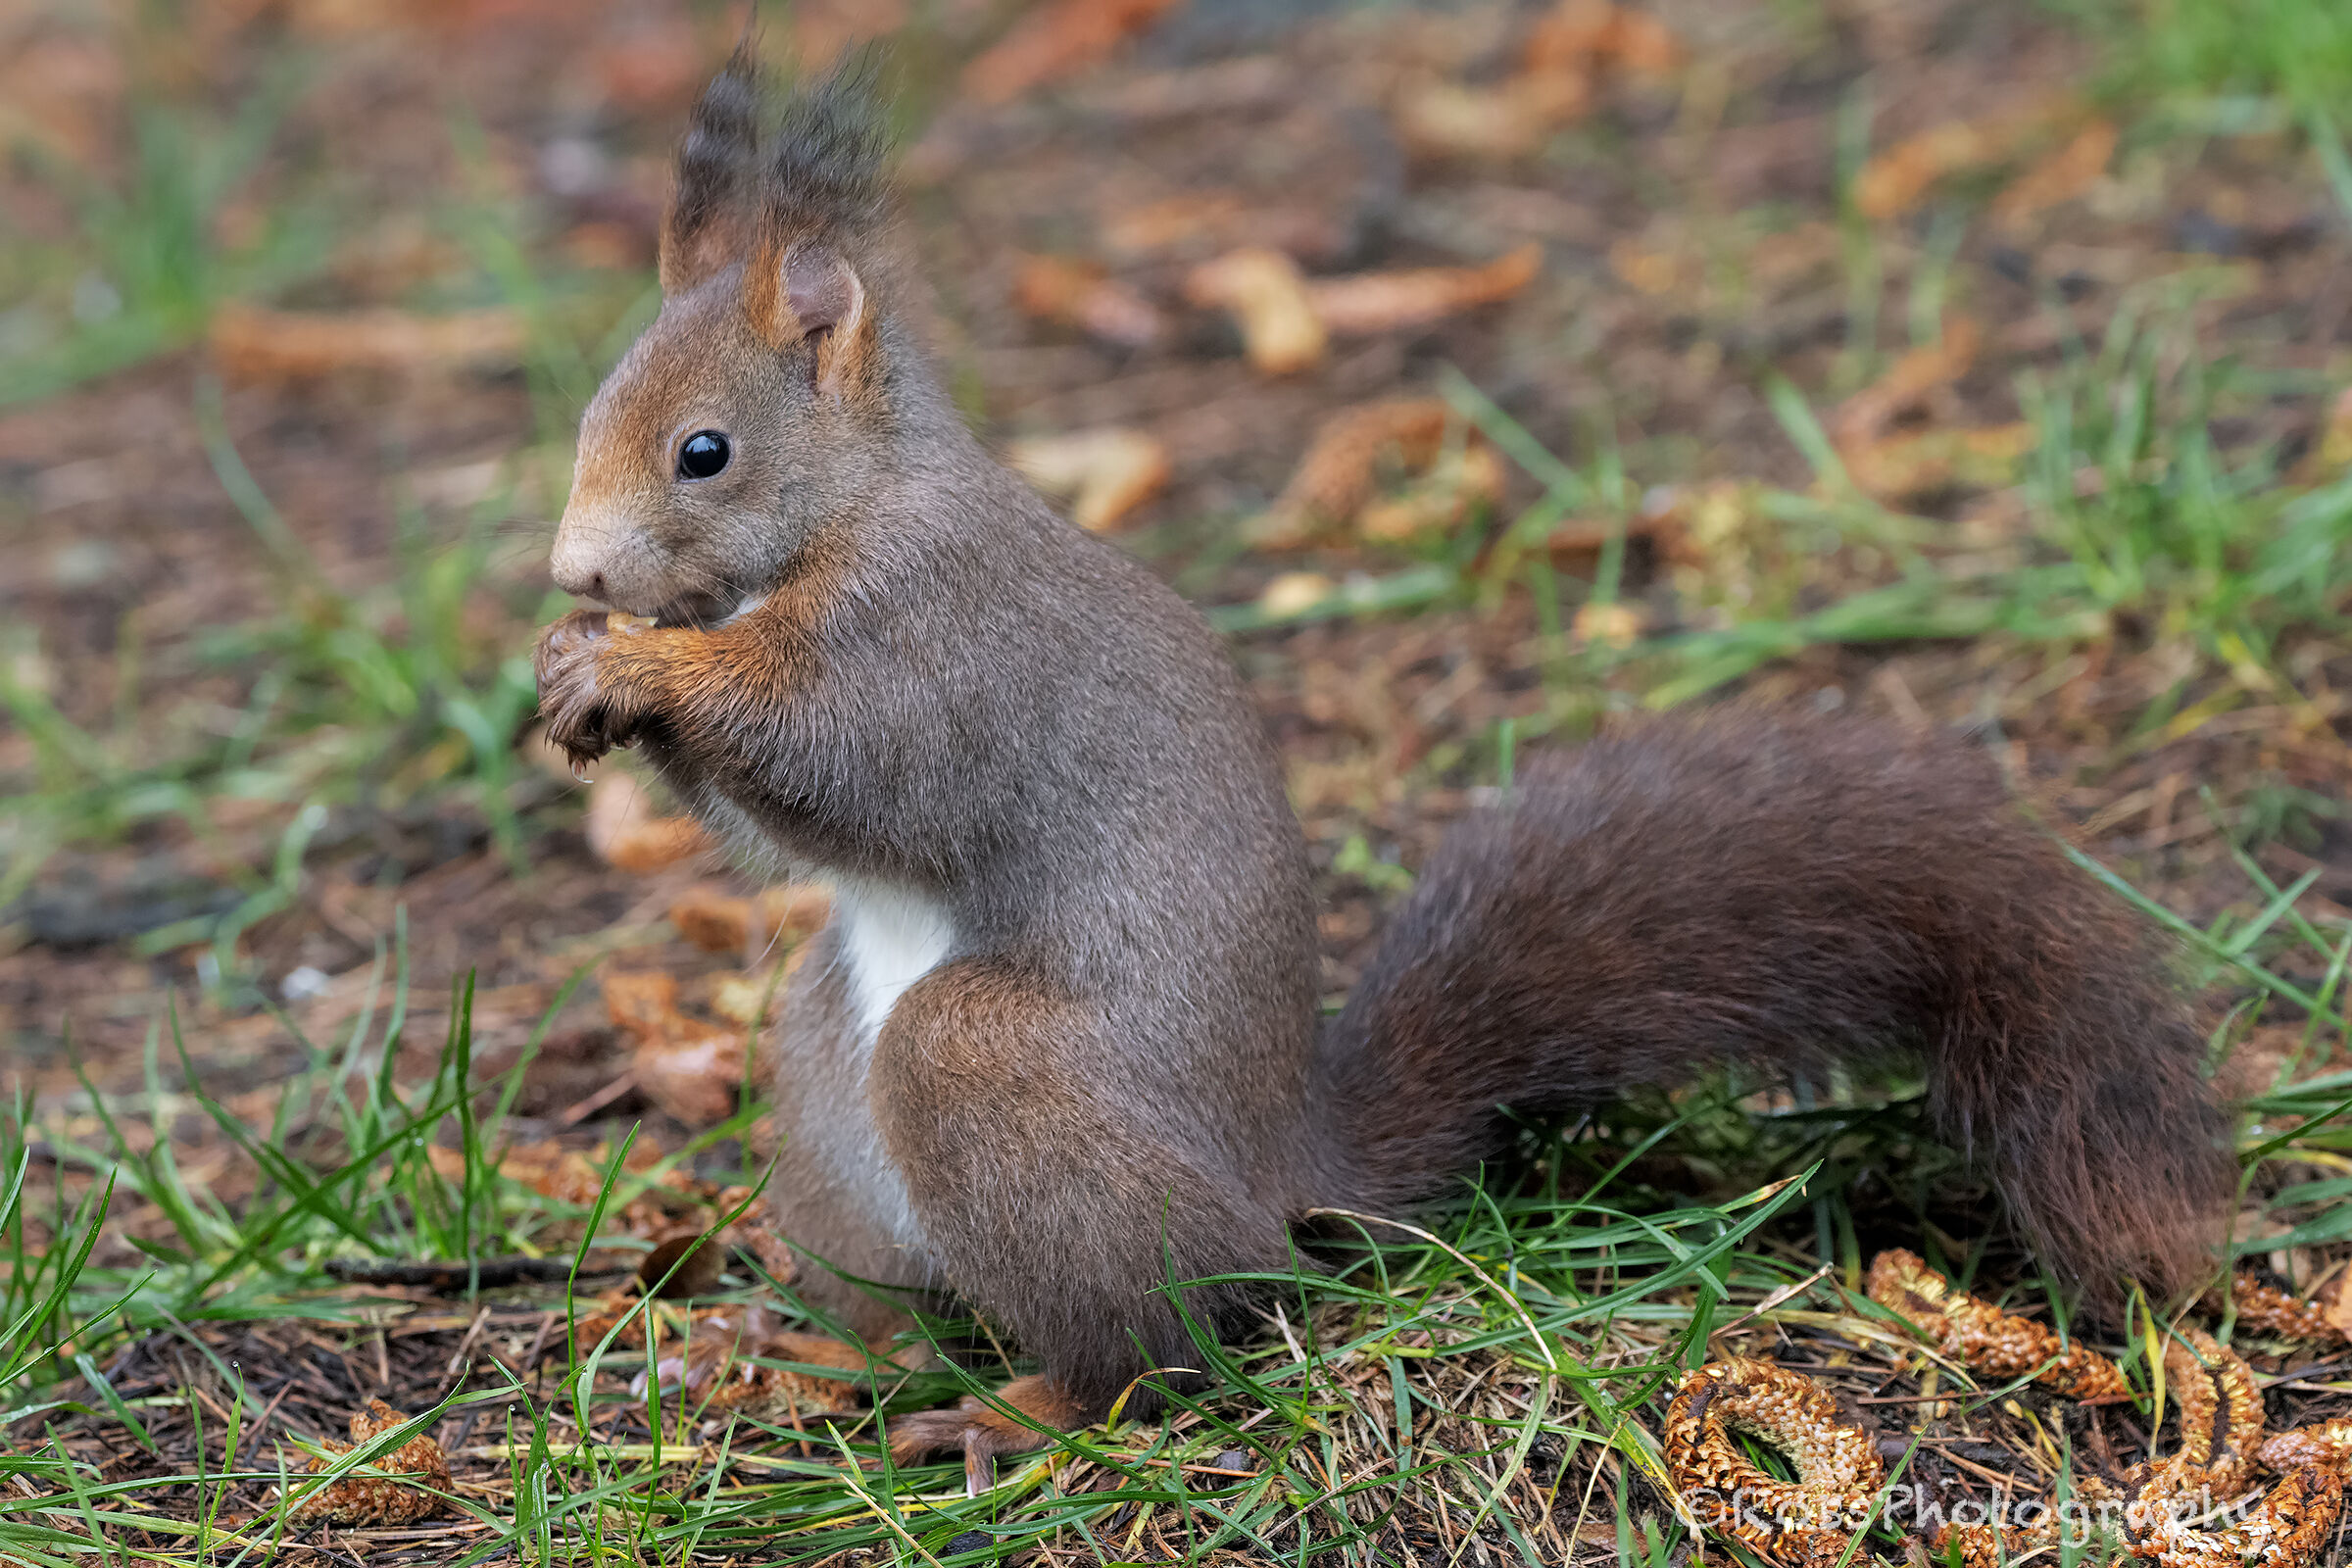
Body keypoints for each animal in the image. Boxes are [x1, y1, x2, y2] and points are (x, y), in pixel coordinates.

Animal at [533, 55, 2232, 1479]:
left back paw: (1031, 1409)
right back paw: (807, 1353)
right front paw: (572, 672)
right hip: (826, 1084)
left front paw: (643, 668)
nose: (576, 572)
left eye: (703, 452)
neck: (858, 504)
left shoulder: (940, 641)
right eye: (590, 410)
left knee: (1173, 1340)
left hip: (989, 1075)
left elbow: (850, 761)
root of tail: (1282, 1163)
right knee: (913, 1289)